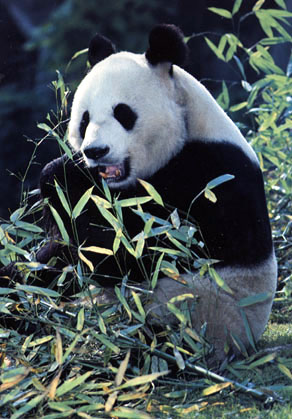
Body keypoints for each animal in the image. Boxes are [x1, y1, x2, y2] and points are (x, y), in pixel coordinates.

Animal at [37, 25, 278, 360]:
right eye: (84, 120)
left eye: (123, 113)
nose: (96, 151)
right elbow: (63, 251)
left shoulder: (211, 179)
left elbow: (131, 254)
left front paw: (59, 174)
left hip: (190, 320)